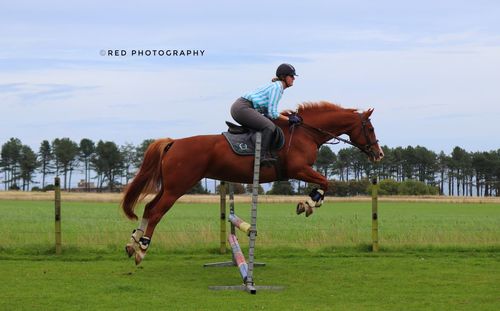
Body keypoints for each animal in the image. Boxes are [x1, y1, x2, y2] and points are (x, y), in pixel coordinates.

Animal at [120, 101, 382, 264]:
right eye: (369, 128)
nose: (379, 154)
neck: (305, 132)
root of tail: (173, 142)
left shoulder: (301, 171)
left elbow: (324, 184)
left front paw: (306, 203)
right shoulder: (298, 169)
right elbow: (325, 182)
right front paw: (308, 204)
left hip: (169, 187)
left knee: (149, 207)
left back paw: (132, 243)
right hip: (177, 188)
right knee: (156, 212)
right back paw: (142, 250)